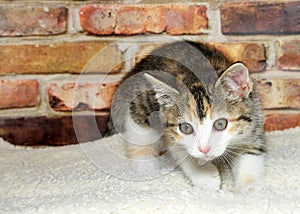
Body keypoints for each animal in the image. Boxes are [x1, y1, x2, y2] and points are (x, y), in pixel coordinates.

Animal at [106, 41, 266, 191]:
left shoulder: (254, 120)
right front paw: (205, 176)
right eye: (186, 128)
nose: (204, 150)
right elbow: (181, 150)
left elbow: (250, 153)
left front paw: (246, 187)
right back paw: (145, 164)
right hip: (144, 99)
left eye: (220, 124)